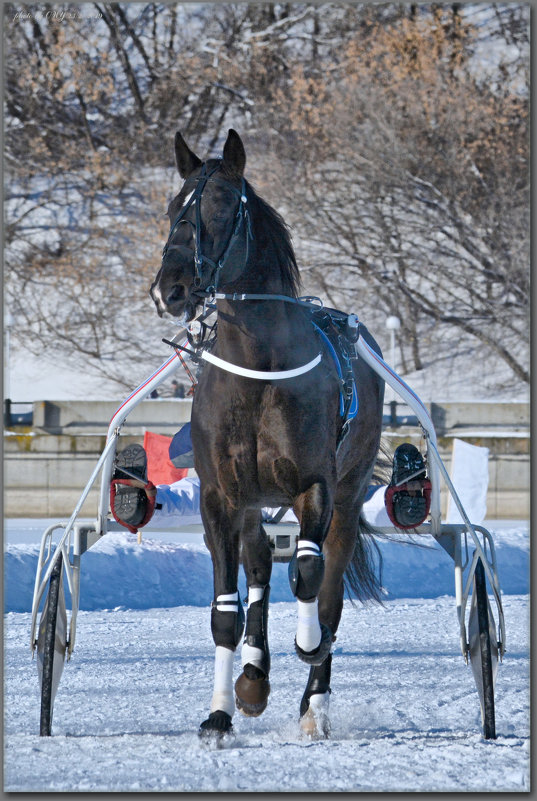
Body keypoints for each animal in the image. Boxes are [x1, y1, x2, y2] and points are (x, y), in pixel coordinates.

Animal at [151, 130, 386, 736]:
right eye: (173, 207)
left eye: (220, 206)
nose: (171, 288)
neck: (257, 369)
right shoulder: (220, 496)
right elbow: (226, 611)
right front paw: (221, 713)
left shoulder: (315, 485)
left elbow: (308, 575)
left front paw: (308, 645)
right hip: (253, 500)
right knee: (257, 562)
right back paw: (254, 677)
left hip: (349, 491)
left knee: (328, 585)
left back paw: (314, 702)